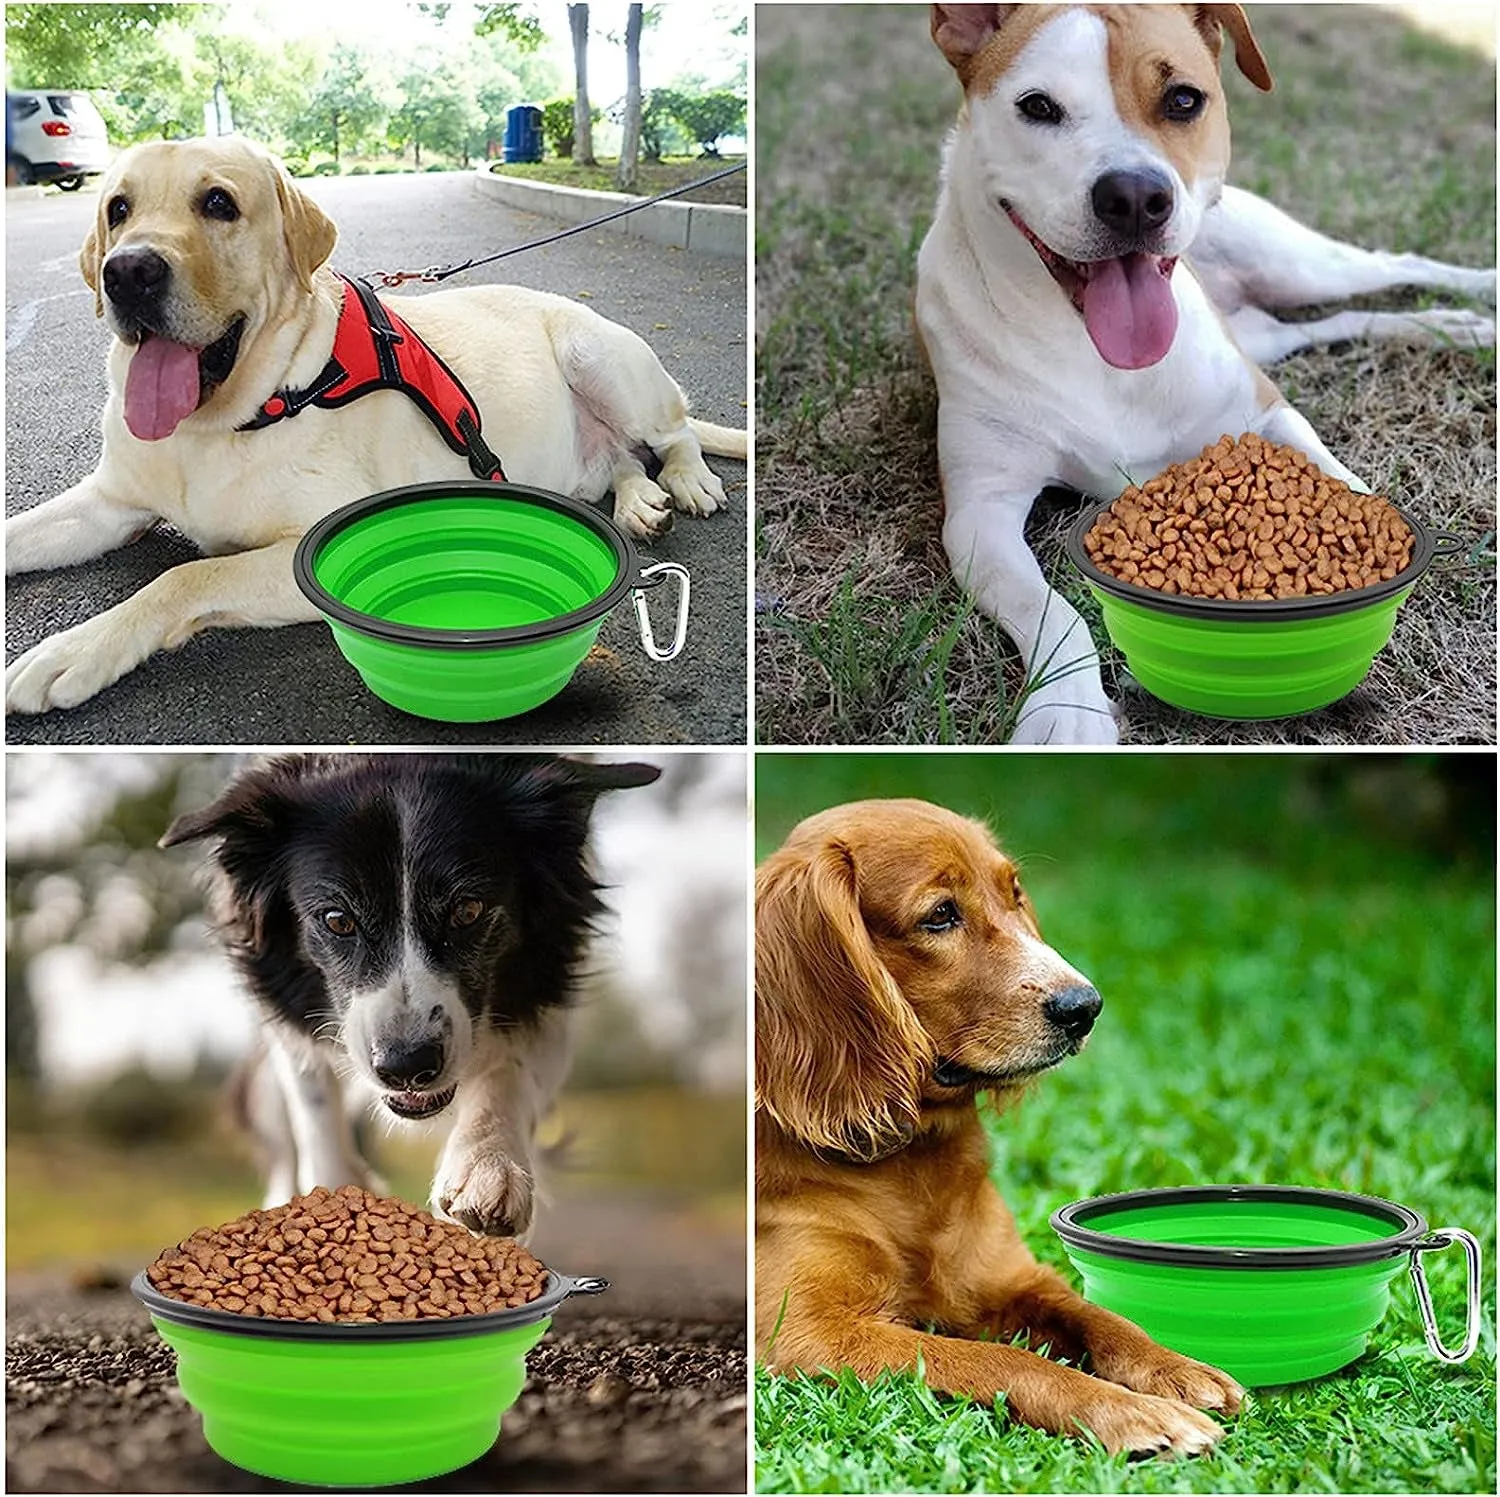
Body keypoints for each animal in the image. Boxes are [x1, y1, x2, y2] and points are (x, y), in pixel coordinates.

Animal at [4, 138, 744, 717]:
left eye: (218, 203)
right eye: (117, 209)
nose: (126, 271)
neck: (228, 419)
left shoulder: (309, 549)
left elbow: (185, 577)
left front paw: (74, 649)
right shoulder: (108, 501)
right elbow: (23, 533)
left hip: (601, 356)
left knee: (674, 432)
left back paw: (686, 482)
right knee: (623, 459)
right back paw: (639, 500)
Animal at [762, 804, 1242, 1458]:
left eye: (1014, 895)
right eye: (940, 915)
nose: (1084, 1006)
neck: (910, 1161)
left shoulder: (1009, 1279)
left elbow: (1099, 1315)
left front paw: (1176, 1368)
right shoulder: (807, 1333)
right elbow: (1002, 1361)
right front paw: (1131, 1413)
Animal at [918, 4, 1494, 744]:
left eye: (1183, 100)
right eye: (1038, 106)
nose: (1135, 196)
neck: (1089, 346)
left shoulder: (1266, 414)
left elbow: (1345, 483)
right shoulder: (980, 513)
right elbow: (1052, 611)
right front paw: (1066, 716)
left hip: (1296, 266)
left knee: (1394, 265)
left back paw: (1480, 298)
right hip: (1269, 330)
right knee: (1339, 322)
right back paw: (1456, 326)